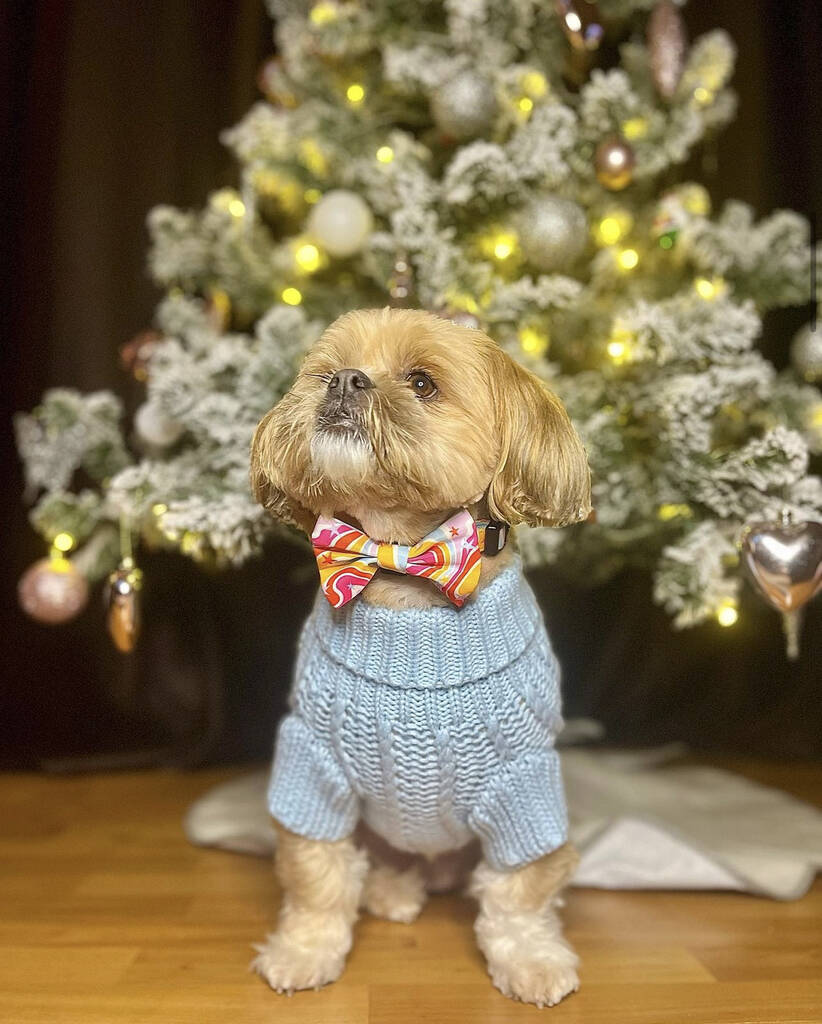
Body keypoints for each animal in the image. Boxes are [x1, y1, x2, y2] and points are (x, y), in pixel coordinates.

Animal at [250, 305, 589, 1007]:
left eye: (423, 383)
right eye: (324, 371)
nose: (344, 381)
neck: (401, 569)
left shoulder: (524, 780)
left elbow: (521, 888)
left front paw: (531, 958)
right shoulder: (312, 763)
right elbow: (315, 872)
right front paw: (305, 950)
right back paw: (390, 889)